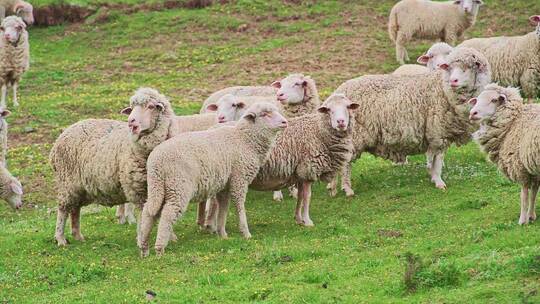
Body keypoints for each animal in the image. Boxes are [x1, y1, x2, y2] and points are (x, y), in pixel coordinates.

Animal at [50, 87, 173, 245]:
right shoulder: (138, 189)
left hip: (80, 188)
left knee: (75, 209)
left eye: (151, 106)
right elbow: (141, 213)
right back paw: (60, 239)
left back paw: (78, 236)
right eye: (131, 108)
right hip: (67, 183)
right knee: (63, 210)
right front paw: (141, 238)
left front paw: (170, 236)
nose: (131, 122)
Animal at [139, 102, 288, 256]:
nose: (285, 122)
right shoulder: (239, 178)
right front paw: (245, 233)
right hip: (178, 186)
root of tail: (156, 161)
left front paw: (222, 234)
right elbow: (239, 206)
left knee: (149, 212)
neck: (244, 140)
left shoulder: (225, 185)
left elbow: (223, 208)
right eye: (264, 114)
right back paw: (159, 249)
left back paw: (144, 248)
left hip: (158, 187)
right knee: (167, 214)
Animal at [204, 95, 358, 235]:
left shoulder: (299, 173)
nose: (341, 122)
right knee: (213, 201)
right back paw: (211, 225)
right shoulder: (307, 168)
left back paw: (211, 226)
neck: (318, 131)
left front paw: (299, 219)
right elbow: (307, 197)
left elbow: (300, 197)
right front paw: (308, 221)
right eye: (329, 110)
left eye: (348, 107)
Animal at [332, 46, 492, 196]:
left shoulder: (438, 134)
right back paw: (347, 189)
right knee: (345, 164)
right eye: (450, 68)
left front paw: (433, 177)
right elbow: (437, 160)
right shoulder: (438, 132)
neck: (442, 88)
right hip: (354, 136)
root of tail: (339, 91)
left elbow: (434, 160)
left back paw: (332, 187)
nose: (453, 81)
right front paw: (439, 181)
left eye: (468, 67)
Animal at [468, 84, 540, 224]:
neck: (514, 122)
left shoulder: (519, 166)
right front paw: (531, 216)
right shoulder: (531, 168)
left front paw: (523, 220)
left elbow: (524, 195)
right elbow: (534, 192)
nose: (472, 113)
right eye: (477, 99)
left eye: (494, 100)